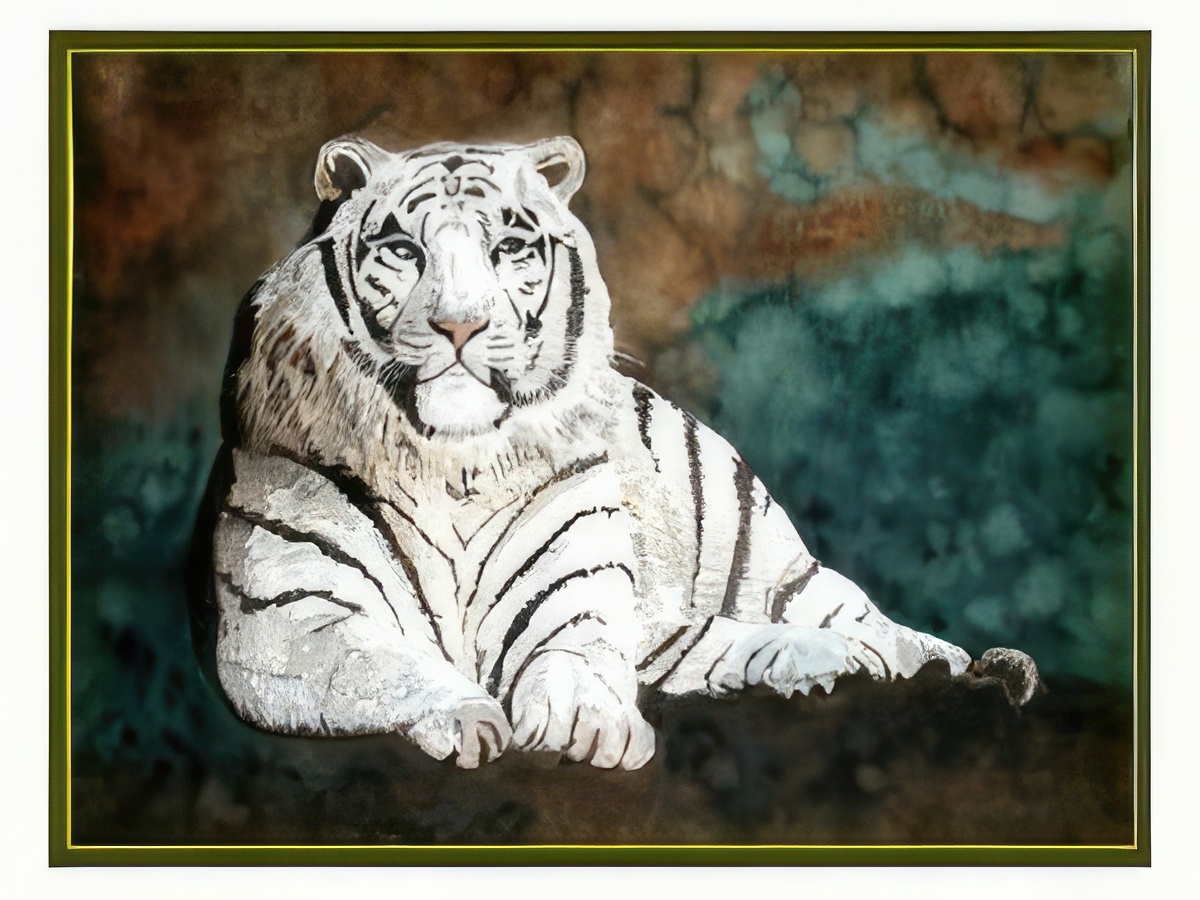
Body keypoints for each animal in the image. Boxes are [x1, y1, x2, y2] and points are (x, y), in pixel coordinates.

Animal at [193, 134, 1030, 772]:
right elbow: (387, 667)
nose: (461, 326)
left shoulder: (574, 595)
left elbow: (576, 660)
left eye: (509, 247)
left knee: (865, 620)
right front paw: (471, 719)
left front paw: (579, 727)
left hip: (768, 561)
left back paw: (975, 669)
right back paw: (824, 666)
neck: (452, 458)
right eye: (402, 249)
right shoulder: (290, 619)